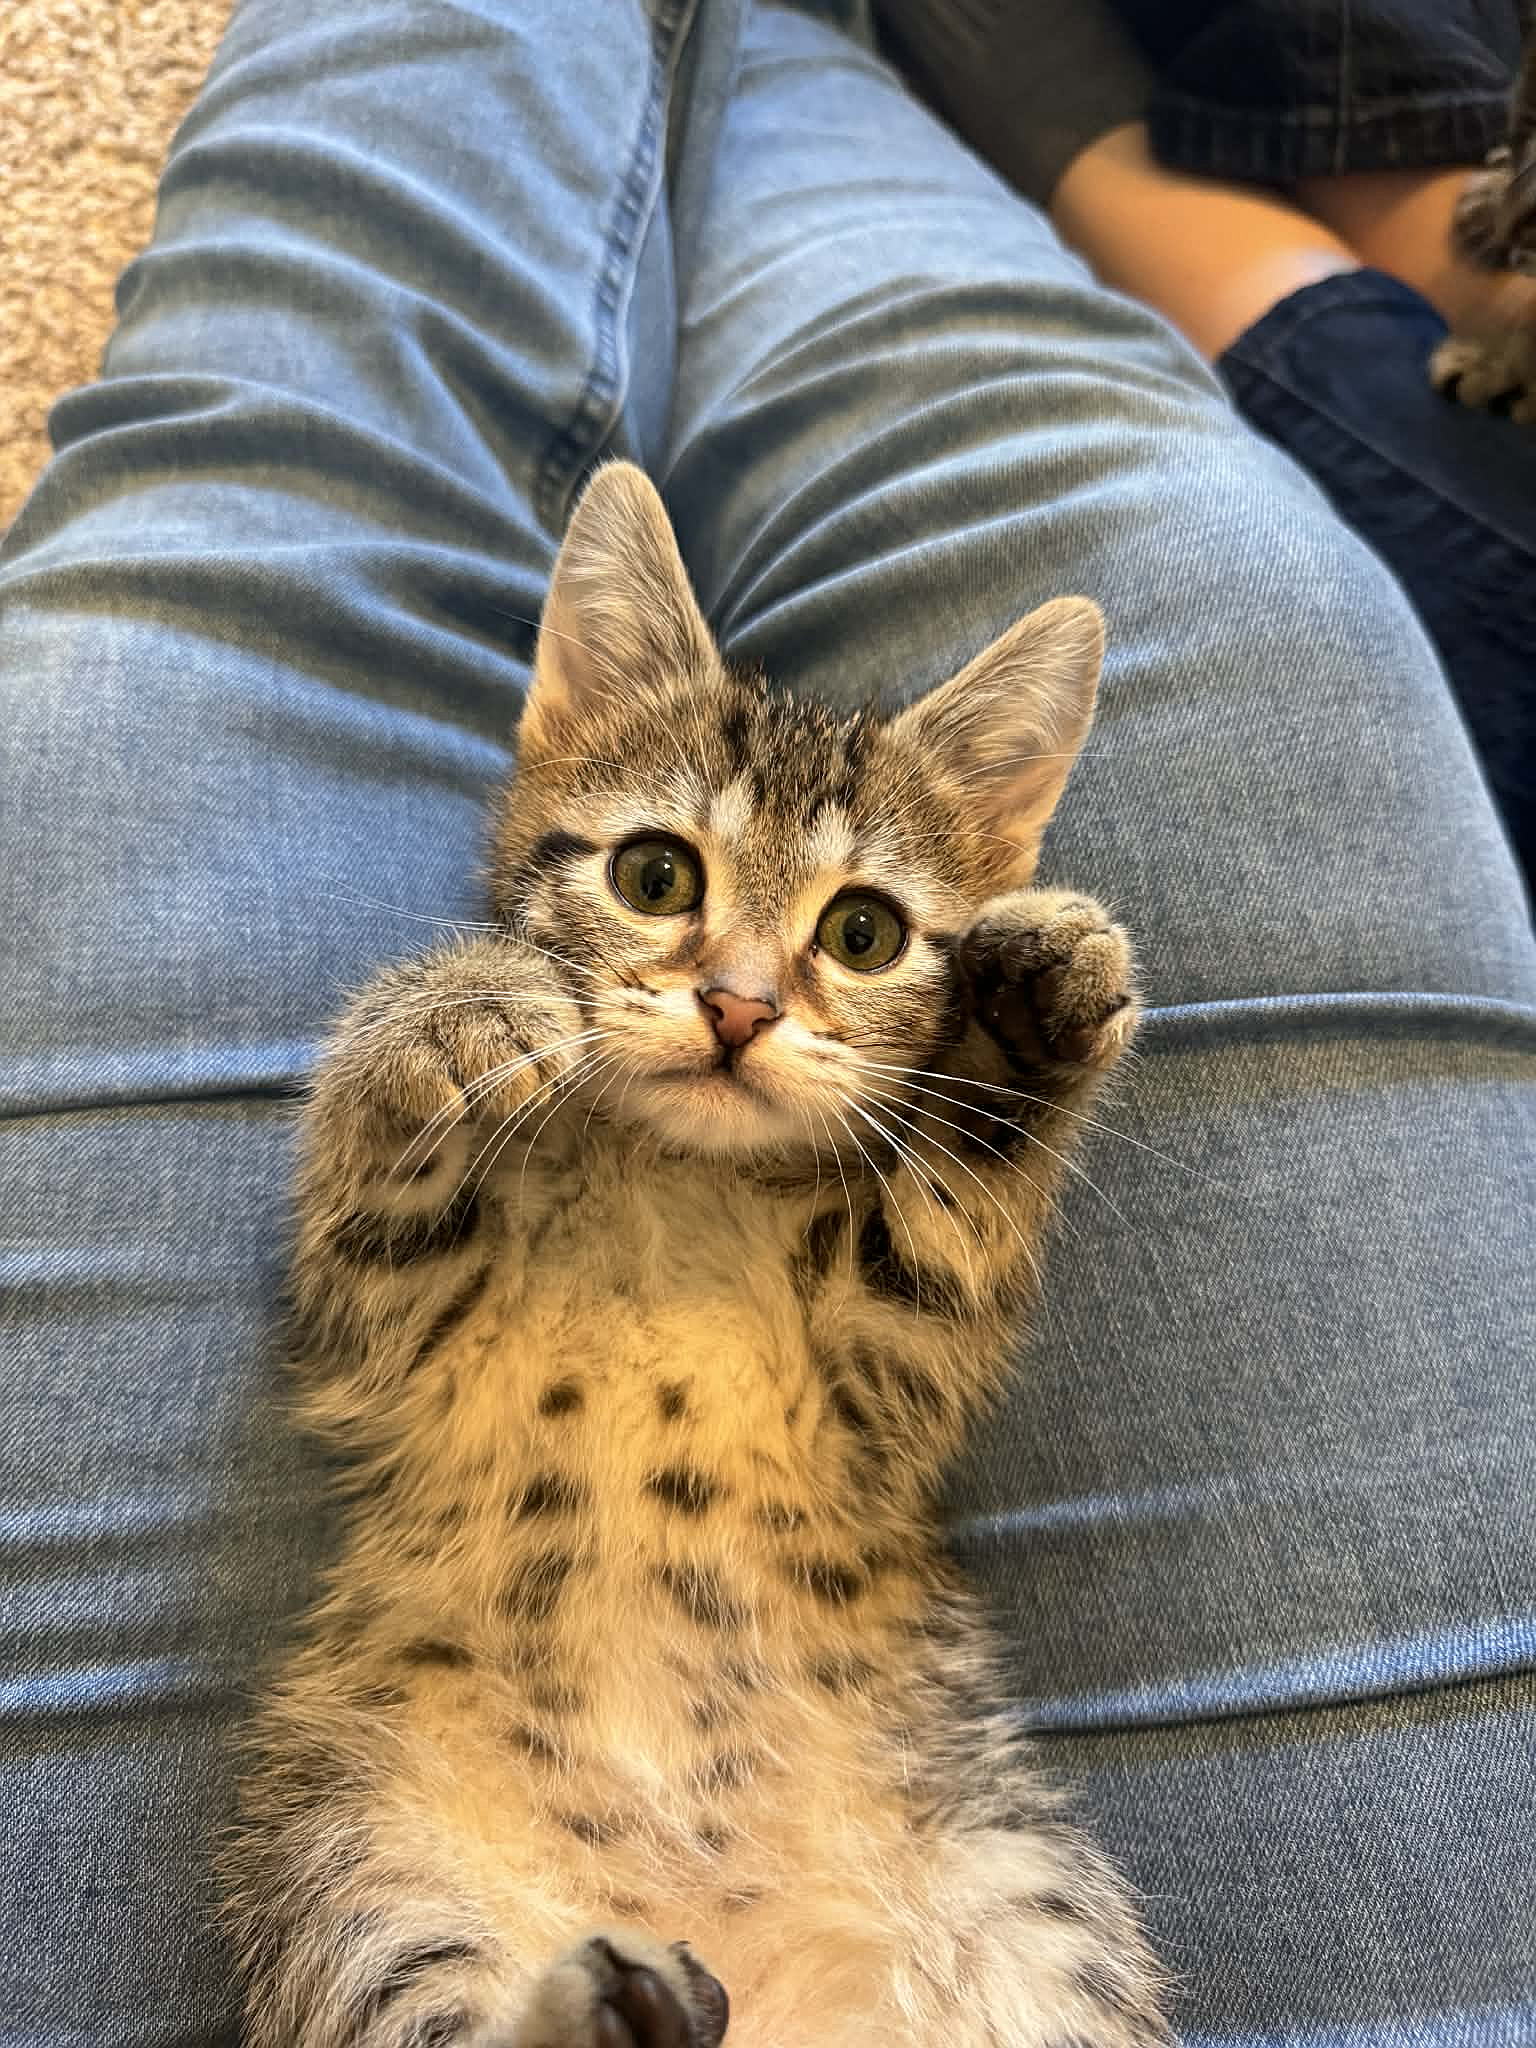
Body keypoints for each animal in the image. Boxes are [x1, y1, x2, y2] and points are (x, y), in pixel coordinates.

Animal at [224, 460, 1170, 2048]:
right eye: (657, 875)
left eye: (865, 932)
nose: (735, 1005)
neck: (676, 1181)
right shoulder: (388, 1327)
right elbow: (377, 1185)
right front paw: (449, 1010)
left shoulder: (882, 1386)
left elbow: (946, 1225)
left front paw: (1020, 1029)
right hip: (365, 1869)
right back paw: (617, 2003)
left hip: (1027, 1910)